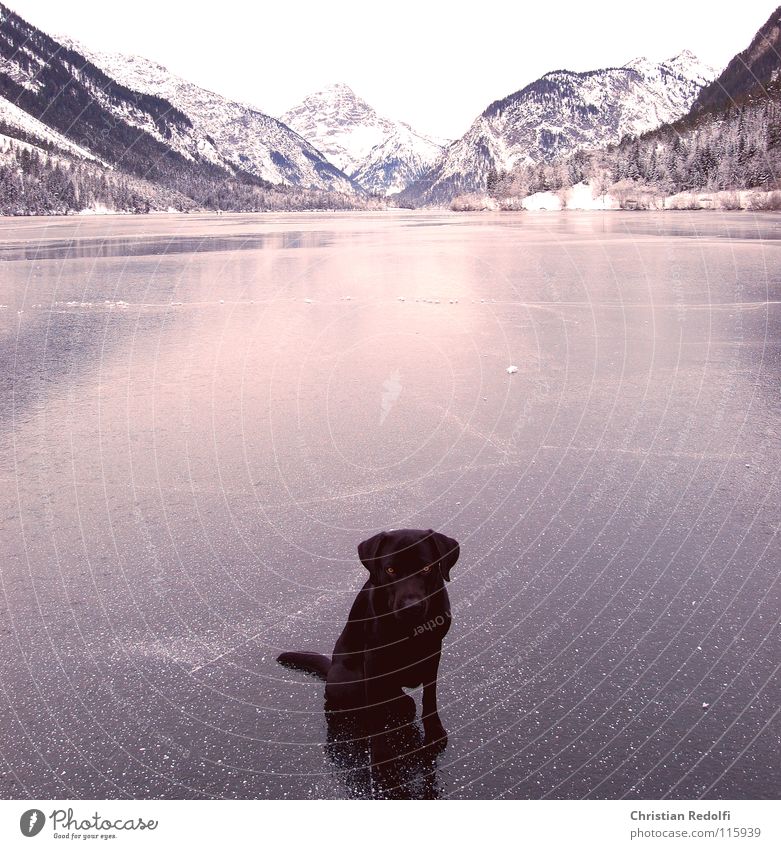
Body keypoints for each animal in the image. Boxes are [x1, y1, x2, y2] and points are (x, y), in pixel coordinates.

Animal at [278, 528, 458, 756]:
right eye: (390, 569)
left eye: (427, 568)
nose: (411, 607)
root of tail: (330, 669)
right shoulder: (373, 660)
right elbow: (376, 713)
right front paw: (381, 755)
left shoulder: (433, 651)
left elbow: (430, 696)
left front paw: (434, 732)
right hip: (349, 680)